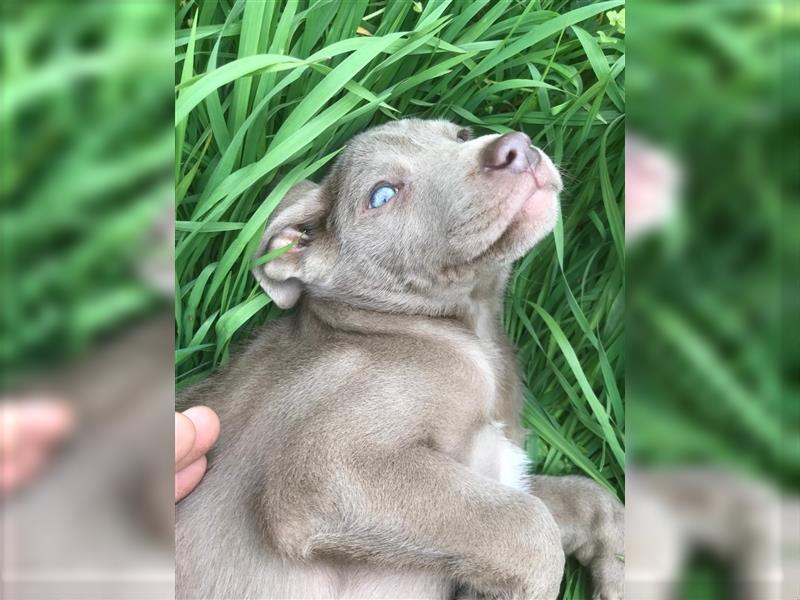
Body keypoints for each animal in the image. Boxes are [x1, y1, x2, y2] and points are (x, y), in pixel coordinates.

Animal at [177, 119, 624, 596]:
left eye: (462, 135)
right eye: (382, 194)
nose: (515, 149)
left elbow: (586, 497)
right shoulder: (324, 467)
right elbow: (529, 527)